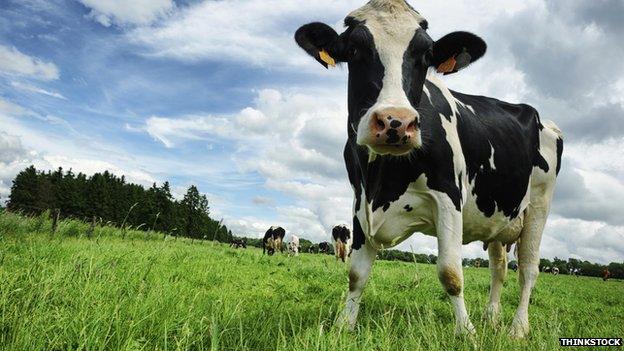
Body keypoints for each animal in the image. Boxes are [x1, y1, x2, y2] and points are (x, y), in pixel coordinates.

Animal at [294, 0, 564, 340]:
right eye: (354, 50)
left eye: (425, 55)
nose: (395, 121)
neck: (382, 179)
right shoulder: (359, 202)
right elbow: (356, 274)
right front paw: (344, 326)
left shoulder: (448, 196)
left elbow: (450, 273)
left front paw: (467, 333)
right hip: (500, 218)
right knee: (499, 268)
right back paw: (492, 318)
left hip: (540, 204)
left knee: (528, 269)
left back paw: (517, 328)